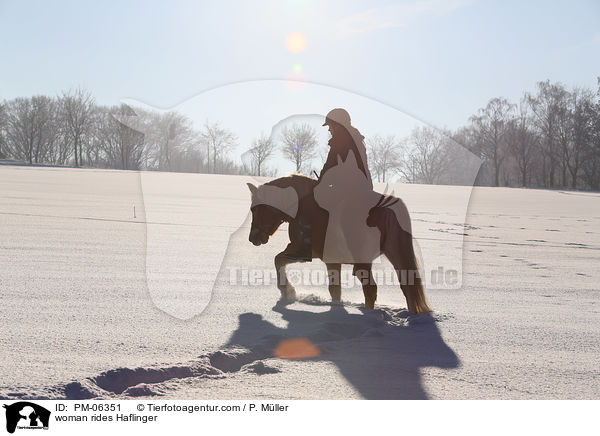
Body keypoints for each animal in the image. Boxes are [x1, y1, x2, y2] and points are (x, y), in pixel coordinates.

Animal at [247, 153, 432, 314]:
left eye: (256, 209)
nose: (253, 238)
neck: (304, 206)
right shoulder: (332, 260)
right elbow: (335, 290)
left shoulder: (301, 252)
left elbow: (278, 260)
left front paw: (287, 291)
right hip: (395, 255)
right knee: (407, 287)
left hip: (364, 261)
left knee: (371, 289)